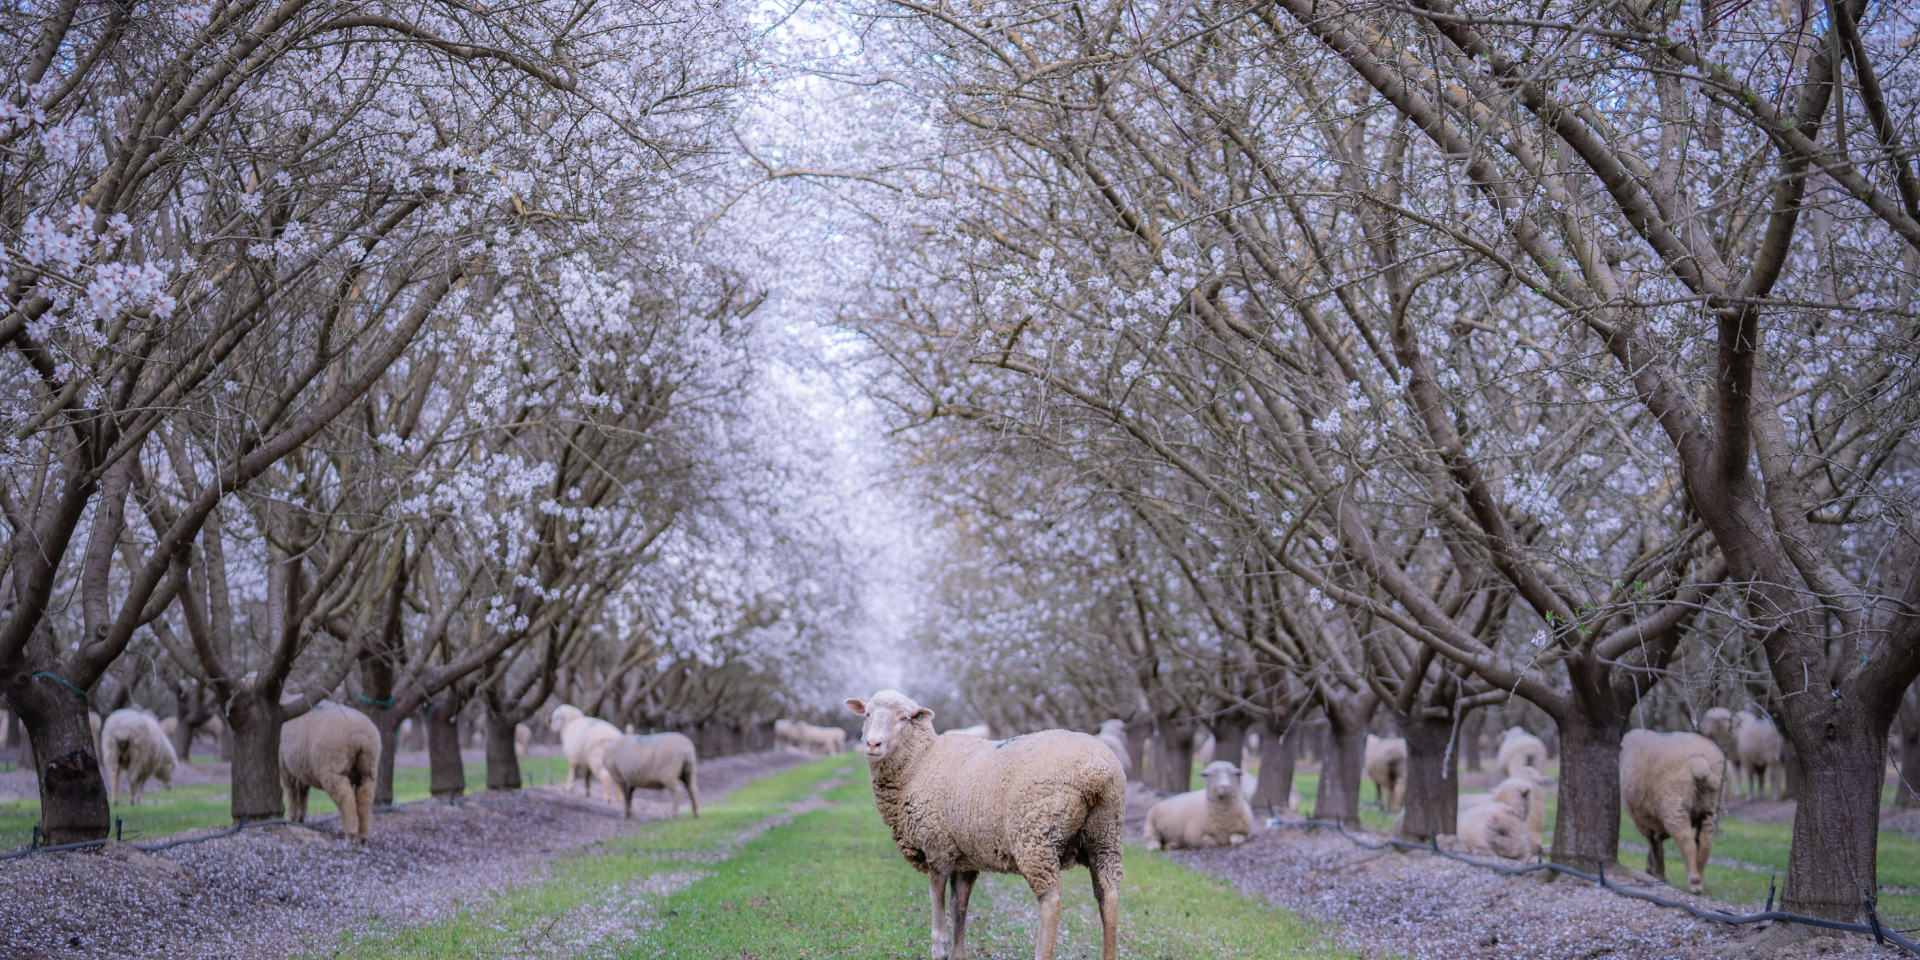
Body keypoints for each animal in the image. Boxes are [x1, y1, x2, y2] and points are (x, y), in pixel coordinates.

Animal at [280, 702, 380, 844]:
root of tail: (360, 738)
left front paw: (292, 817)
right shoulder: (303, 767)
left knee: (345, 797)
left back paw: (350, 834)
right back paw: (363, 837)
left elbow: (291, 790)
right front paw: (301, 816)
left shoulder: (284, 761)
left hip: (333, 769)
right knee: (365, 797)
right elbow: (303, 789)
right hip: (368, 769)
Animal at [844, 691, 1121, 960]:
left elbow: (937, 900)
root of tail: (1095, 771)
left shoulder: (938, 847)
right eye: (867, 714)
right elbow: (959, 907)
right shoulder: (965, 859)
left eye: (904, 718)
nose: (873, 744)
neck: (919, 763)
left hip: (1036, 838)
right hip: (1106, 835)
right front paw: (958, 954)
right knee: (1108, 895)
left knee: (1051, 901)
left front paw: (939, 950)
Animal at [1620, 725, 1728, 890]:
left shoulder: (1644, 821)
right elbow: (1656, 845)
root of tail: (1699, 763)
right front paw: (1652, 870)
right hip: (1712, 807)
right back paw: (1700, 878)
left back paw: (1694, 880)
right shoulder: (1655, 820)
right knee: (1705, 840)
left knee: (1686, 839)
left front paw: (1657, 875)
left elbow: (1655, 846)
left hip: (1674, 804)